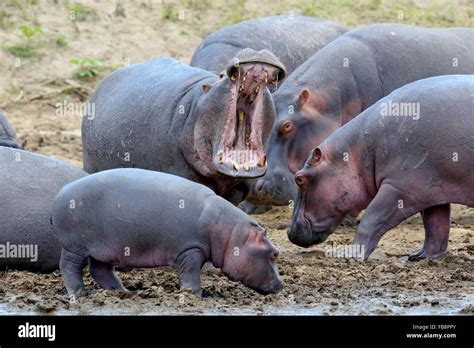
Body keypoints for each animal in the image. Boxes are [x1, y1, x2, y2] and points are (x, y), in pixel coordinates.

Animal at [51, 169, 282, 296]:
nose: (281, 285)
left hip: (103, 249)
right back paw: (79, 293)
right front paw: (195, 295)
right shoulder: (190, 249)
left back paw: (122, 292)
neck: (231, 233)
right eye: (274, 253)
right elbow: (190, 274)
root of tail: (59, 194)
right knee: (69, 267)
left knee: (101, 270)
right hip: (74, 246)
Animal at [288, 75, 474, 260]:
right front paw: (418, 257)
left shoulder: (400, 188)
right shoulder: (433, 187)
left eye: (299, 178)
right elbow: (435, 225)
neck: (357, 151)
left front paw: (349, 254)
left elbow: (372, 218)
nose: (289, 232)